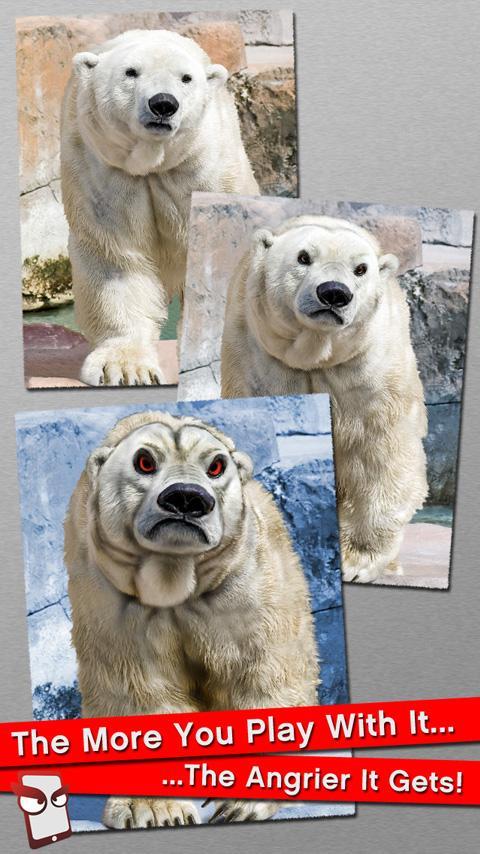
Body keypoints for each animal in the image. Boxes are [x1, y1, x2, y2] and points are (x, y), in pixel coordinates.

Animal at [60, 29, 259, 386]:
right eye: (131, 72)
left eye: (186, 78)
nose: (163, 103)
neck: (155, 163)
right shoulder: (103, 170)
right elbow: (116, 262)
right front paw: (125, 368)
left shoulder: (206, 169)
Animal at [64, 410, 319, 827]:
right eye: (144, 461)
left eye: (216, 465)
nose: (186, 497)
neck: (175, 579)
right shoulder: (112, 596)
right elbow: (139, 687)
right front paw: (152, 808)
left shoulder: (246, 584)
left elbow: (263, 672)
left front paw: (240, 801)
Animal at [221, 215, 428, 583]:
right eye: (303, 257)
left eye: (361, 269)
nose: (334, 292)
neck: (317, 356)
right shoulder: (252, 355)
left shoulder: (373, 370)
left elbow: (380, 451)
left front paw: (356, 561)